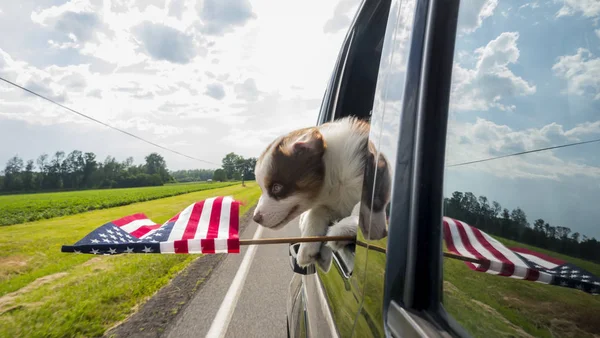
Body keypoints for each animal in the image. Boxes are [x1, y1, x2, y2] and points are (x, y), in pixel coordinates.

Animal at [252, 117, 390, 270]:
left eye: (276, 187)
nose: (256, 218)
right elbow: (316, 211)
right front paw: (307, 247)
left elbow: (363, 208)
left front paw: (343, 228)